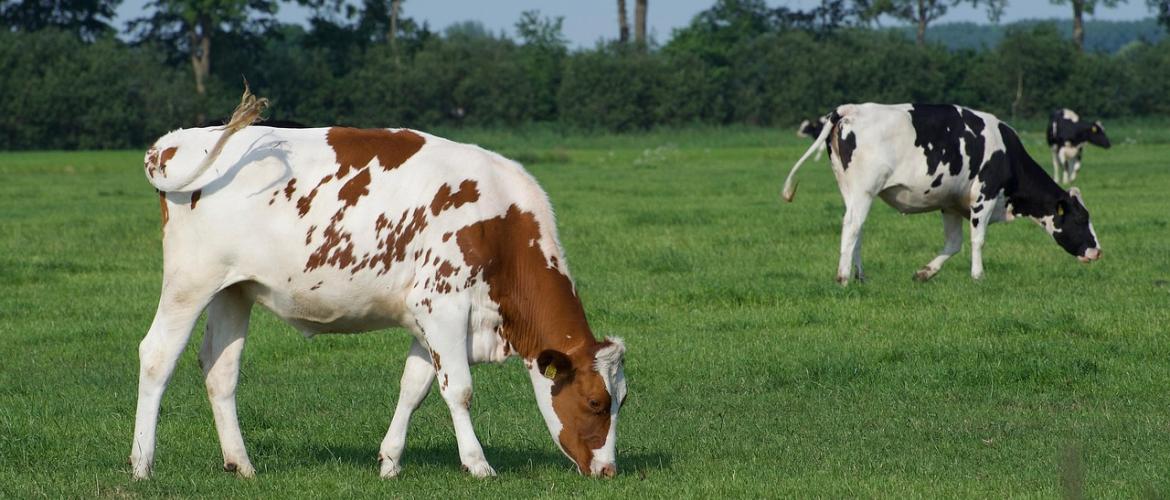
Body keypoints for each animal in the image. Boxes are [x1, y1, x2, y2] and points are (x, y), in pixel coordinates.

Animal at [132, 89, 628, 480]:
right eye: (595, 403)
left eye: (621, 401)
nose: (608, 471)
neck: (501, 226)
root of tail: (176, 141)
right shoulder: (441, 306)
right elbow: (460, 389)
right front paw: (478, 464)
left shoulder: (427, 322)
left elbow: (414, 387)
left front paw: (390, 461)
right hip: (190, 280)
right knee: (157, 355)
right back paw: (142, 464)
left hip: (233, 289)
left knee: (220, 368)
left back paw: (242, 464)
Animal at [781, 103, 1101, 285]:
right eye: (1081, 218)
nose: (1097, 251)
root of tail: (850, 109)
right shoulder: (984, 196)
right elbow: (977, 240)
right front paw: (978, 276)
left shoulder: (951, 204)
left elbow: (954, 244)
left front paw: (925, 272)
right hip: (863, 189)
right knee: (851, 226)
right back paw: (844, 276)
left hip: (850, 189)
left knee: (856, 228)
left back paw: (860, 275)